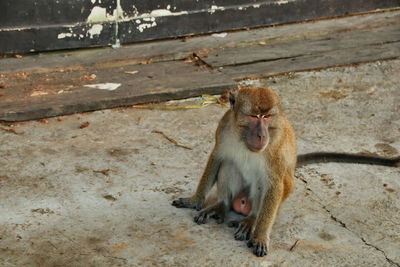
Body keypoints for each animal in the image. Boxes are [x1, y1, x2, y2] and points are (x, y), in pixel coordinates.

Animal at [170, 86, 398, 258]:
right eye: (254, 116)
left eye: (267, 117)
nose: (261, 135)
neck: (242, 137)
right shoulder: (224, 127)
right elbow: (218, 158)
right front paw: (194, 200)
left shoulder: (275, 144)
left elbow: (273, 182)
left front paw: (260, 235)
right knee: (229, 165)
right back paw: (222, 205)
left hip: (279, 197)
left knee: (267, 185)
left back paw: (252, 219)